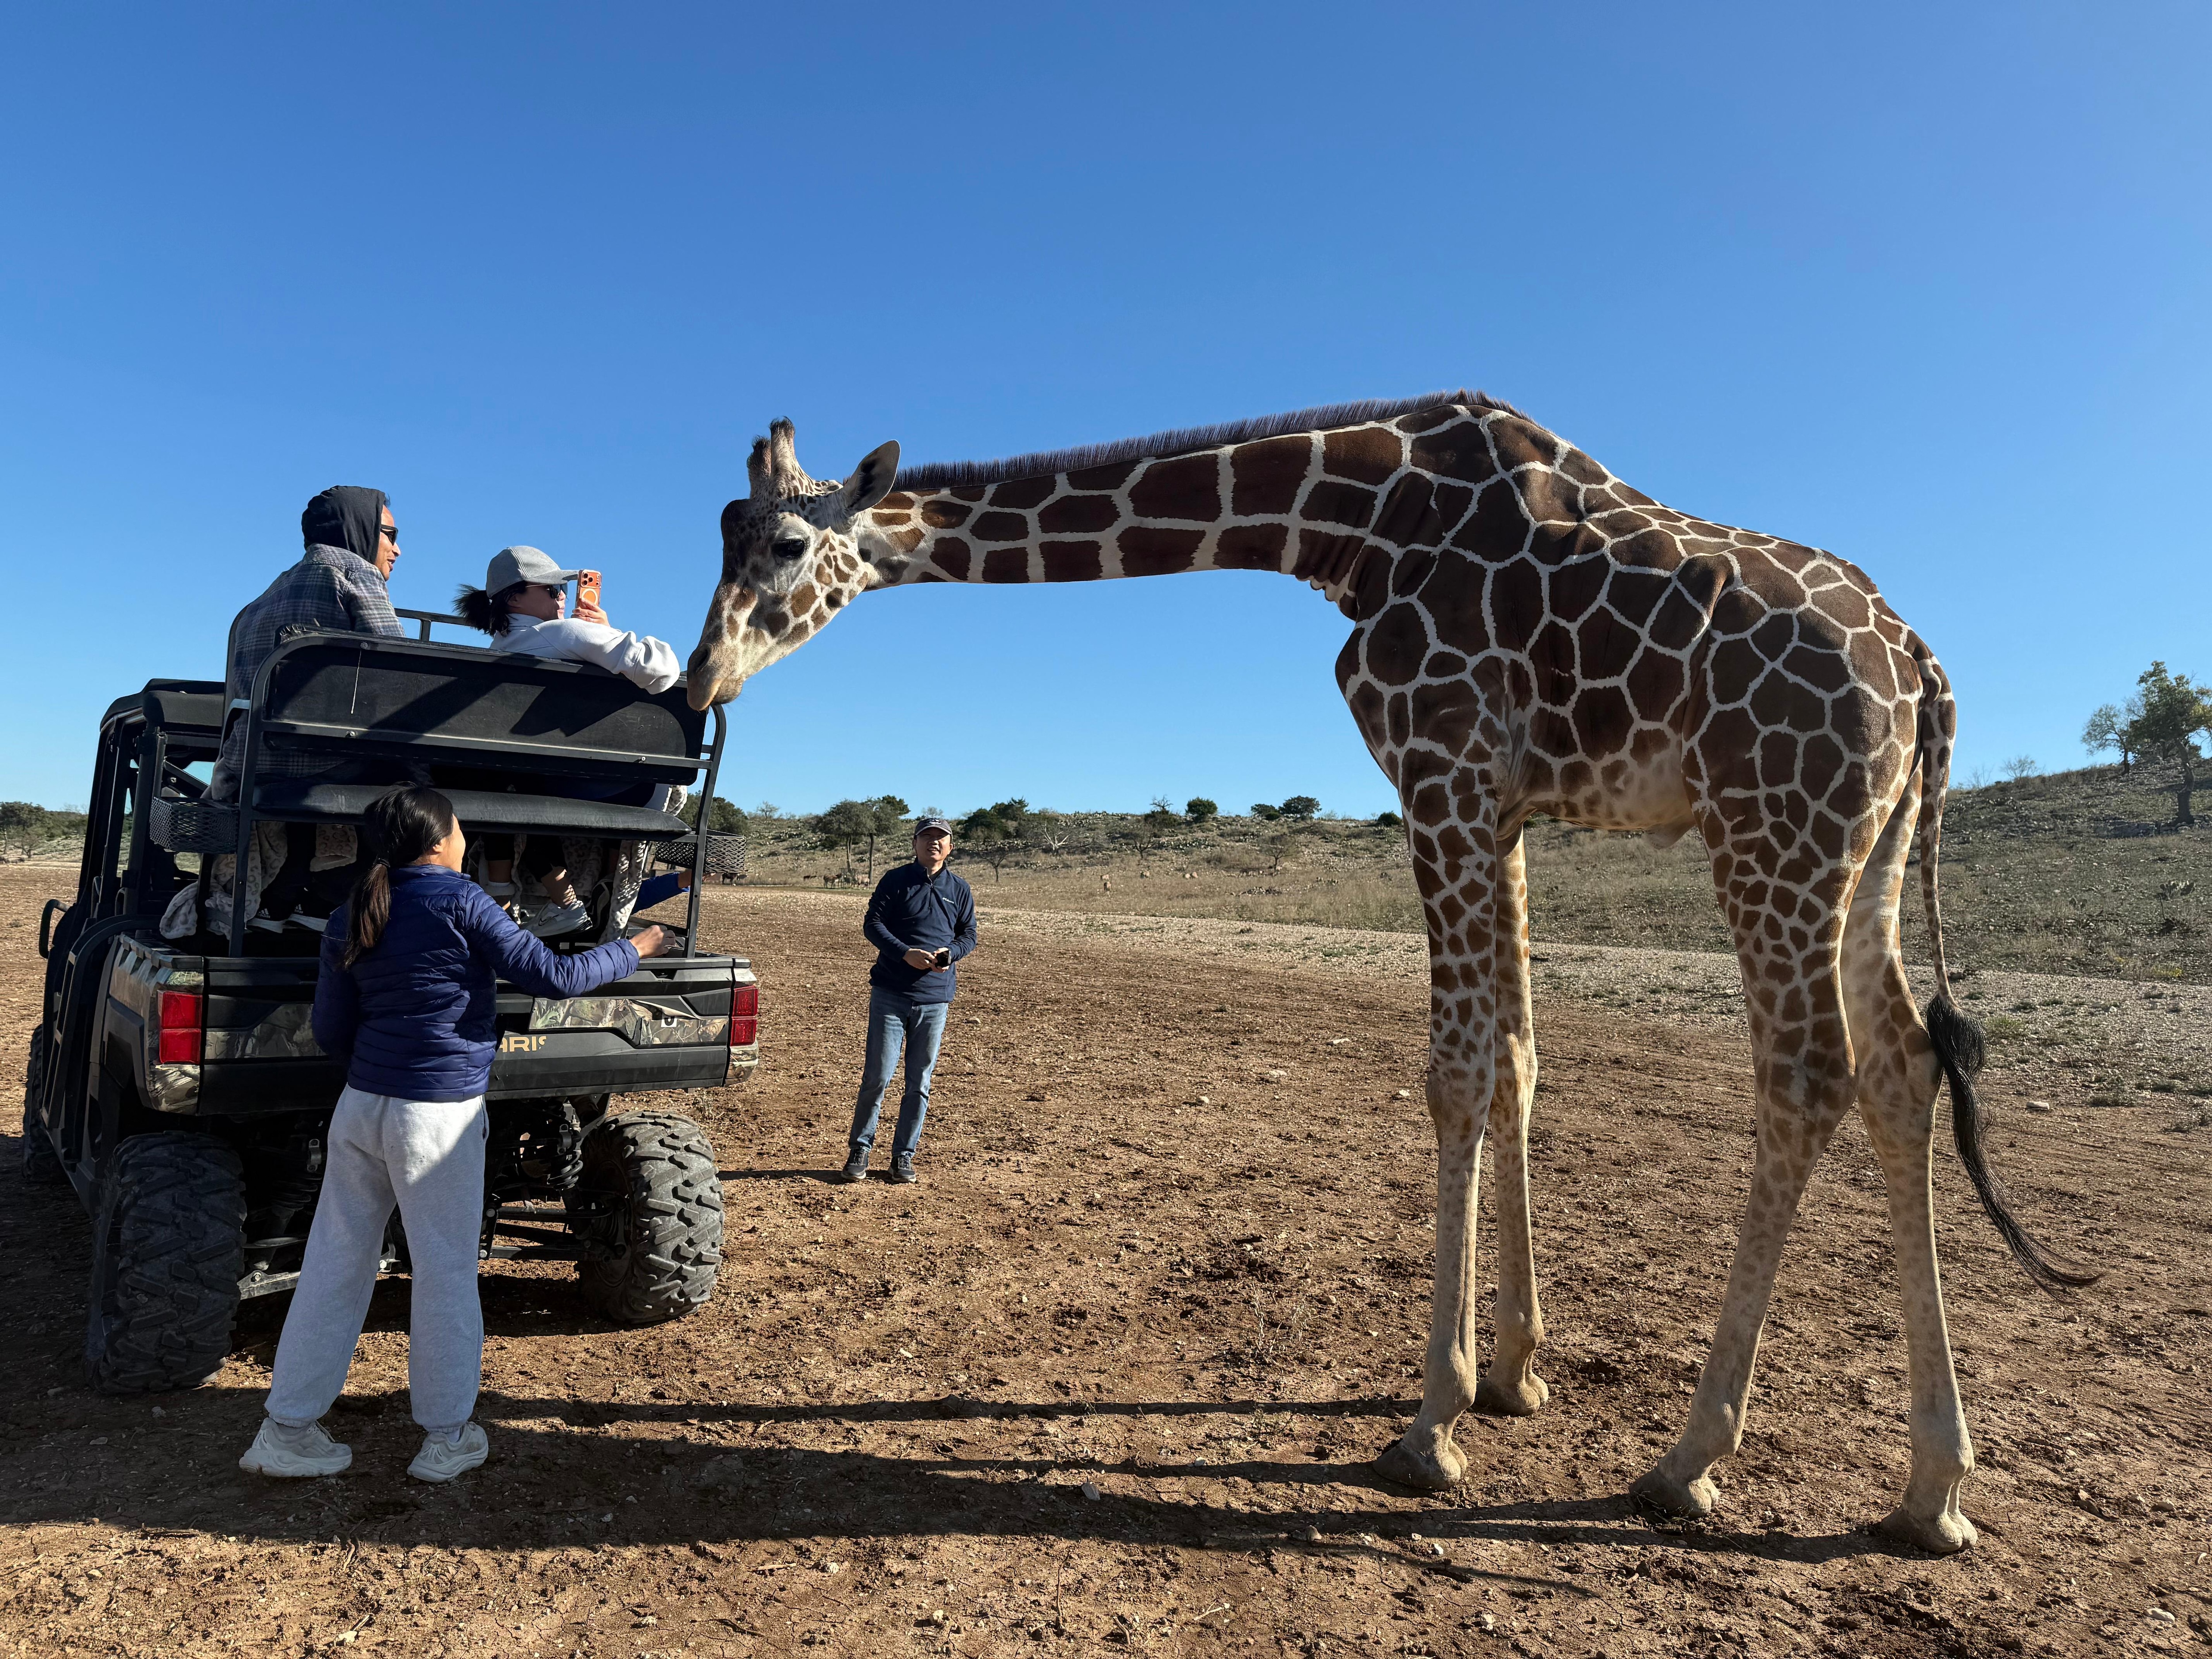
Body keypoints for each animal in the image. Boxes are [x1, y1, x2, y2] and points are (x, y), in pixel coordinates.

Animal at [685, 394, 2095, 1552]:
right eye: (725, 535)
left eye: (785, 546)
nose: (703, 676)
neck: (1348, 524)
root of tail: (1920, 666)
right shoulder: (1508, 803)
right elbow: (1519, 1058)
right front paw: (1514, 1370)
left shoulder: (1442, 765)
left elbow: (1455, 1073)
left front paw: (1432, 1427)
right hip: (1870, 840)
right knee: (1905, 1067)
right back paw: (1932, 1488)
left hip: (1772, 824)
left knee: (1808, 1075)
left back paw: (1688, 1460)